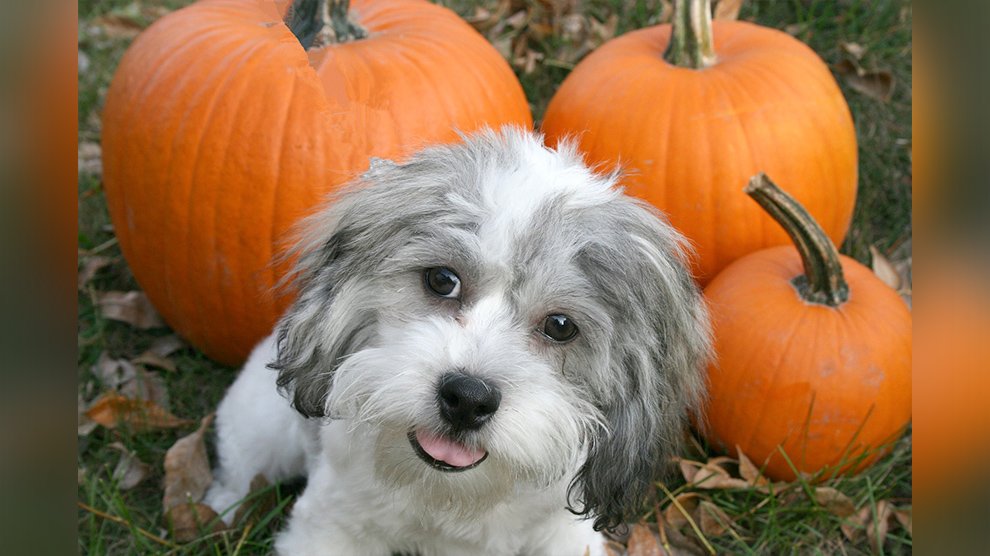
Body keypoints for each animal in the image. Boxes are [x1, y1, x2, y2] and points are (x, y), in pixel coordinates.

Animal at [203, 128, 712, 552]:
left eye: (561, 326)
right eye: (442, 280)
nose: (468, 398)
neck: (449, 494)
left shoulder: (564, 536)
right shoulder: (331, 524)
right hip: (261, 425)